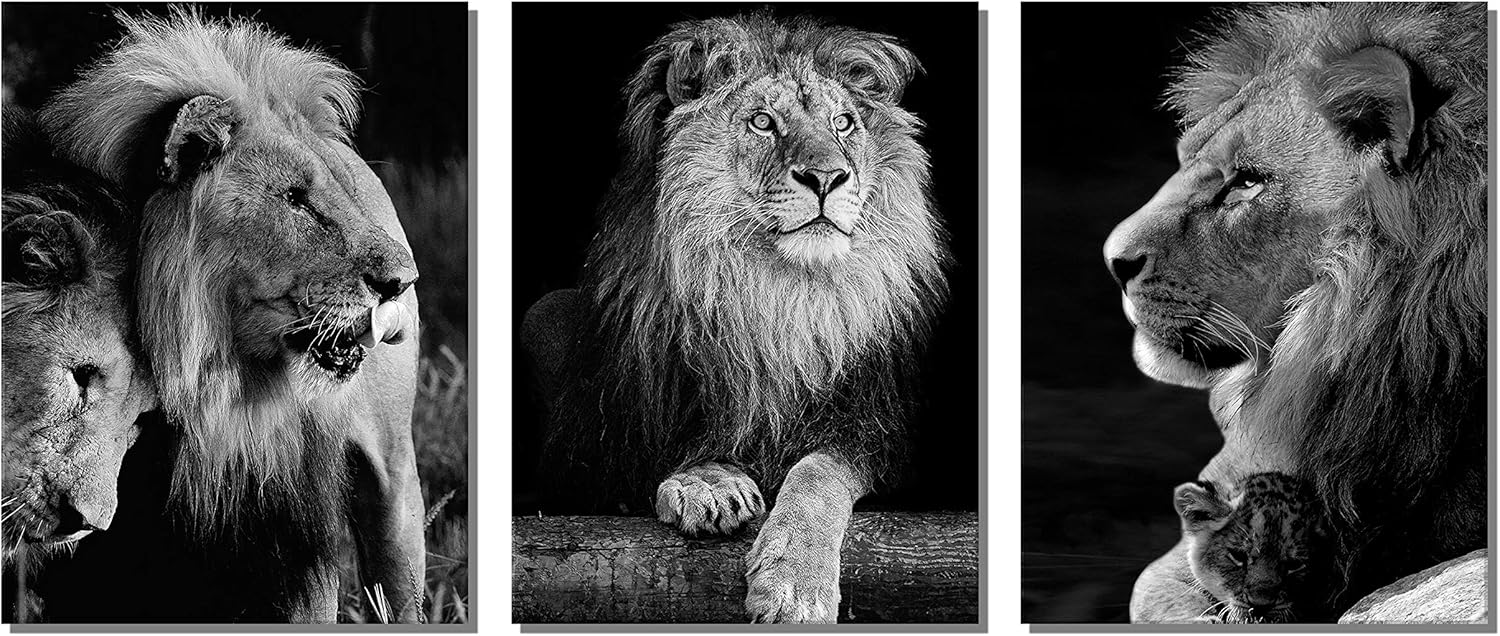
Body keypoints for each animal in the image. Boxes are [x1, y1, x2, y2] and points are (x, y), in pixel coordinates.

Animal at [522, 14, 949, 623]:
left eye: (843, 123)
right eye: (762, 122)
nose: (828, 178)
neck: (773, 297)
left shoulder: (881, 432)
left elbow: (820, 469)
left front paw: (794, 584)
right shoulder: (591, 455)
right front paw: (708, 481)